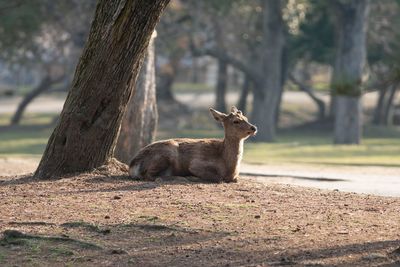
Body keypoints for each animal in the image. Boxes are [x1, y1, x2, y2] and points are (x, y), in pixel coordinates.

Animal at [130, 107, 258, 184]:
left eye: (246, 118)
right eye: (236, 121)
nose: (254, 128)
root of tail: (132, 165)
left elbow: (236, 179)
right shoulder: (196, 164)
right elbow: (218, 178)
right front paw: (194, 176)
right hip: (166, 153)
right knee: (149, 175)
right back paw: (181, 178)